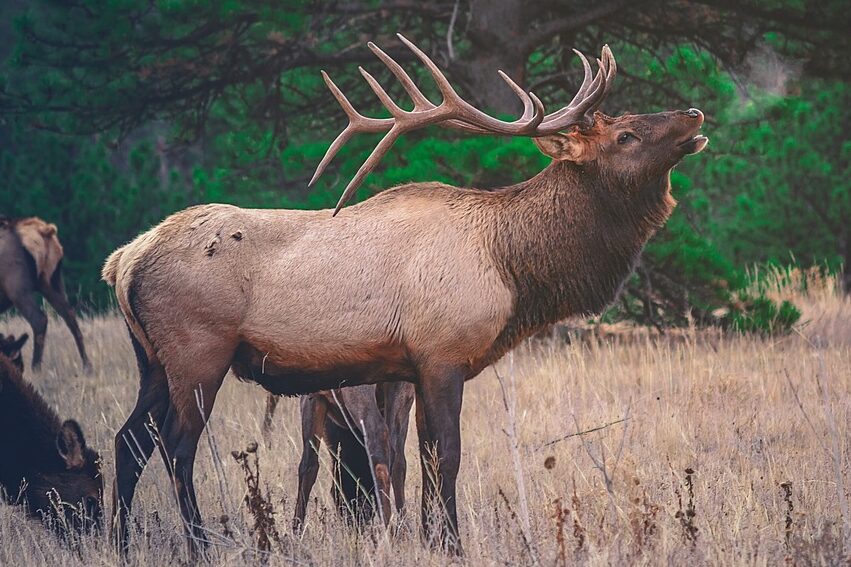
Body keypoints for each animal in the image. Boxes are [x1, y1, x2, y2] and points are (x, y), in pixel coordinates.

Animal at [0, 216, 91, 371]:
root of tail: (45, 231)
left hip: (17, 288)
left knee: (39, 319)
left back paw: (35, 368)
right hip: (52, 281)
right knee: (70, 316)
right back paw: (87, 366)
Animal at [102, 35, 707, 556]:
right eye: (625, 135)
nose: (695, 115)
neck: (510, 267)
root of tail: (123, 262)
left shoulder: (408, 368)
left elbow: (418, 459)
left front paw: (429, 538)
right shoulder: (442, 354)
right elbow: (447, 456)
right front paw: (452, 544)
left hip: (152, 360)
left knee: (128, 441)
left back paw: (120, 543)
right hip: (198, 351)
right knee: (176, 448)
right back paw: (198, 545)